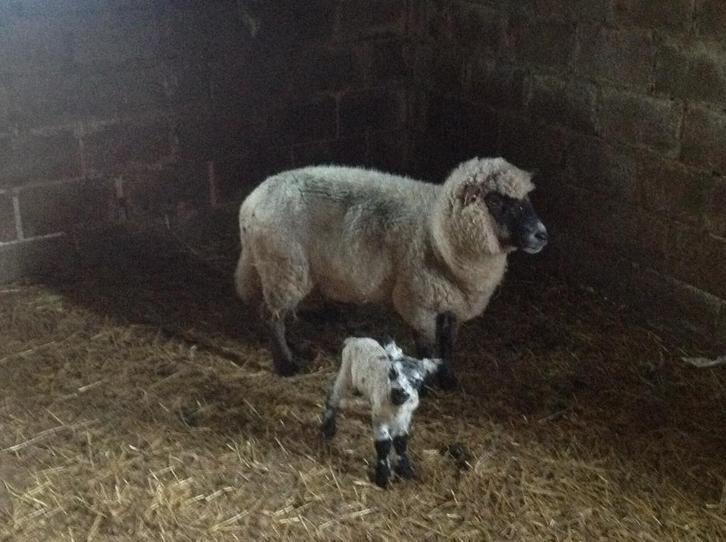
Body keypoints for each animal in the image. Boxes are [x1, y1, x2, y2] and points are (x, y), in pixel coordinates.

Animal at [234, 157, 548, 383]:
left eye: (526, 201)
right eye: (495, 201)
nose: (542, 235)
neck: (438, 230)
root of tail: (250, 202)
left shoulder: (453, 303)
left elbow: (448, 345)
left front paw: (448, 379)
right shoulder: (419, 302)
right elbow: (426, 347)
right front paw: (428, 381)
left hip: (283, 269)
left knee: (281, 314)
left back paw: (294, 349)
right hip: (284, 267)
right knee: (272, 317)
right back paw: (286, 364)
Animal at [320, 322, 447, 488]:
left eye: (418, 380)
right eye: (392, 372)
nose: (399, 392)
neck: (396, 407)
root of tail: (355, 339)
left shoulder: (405, 418)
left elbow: (401, 442)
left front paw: (405, 470)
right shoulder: (380, 417)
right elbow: (384, 444)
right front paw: (383, 477)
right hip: (346, 370)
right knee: (333, 396)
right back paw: (327, 428)